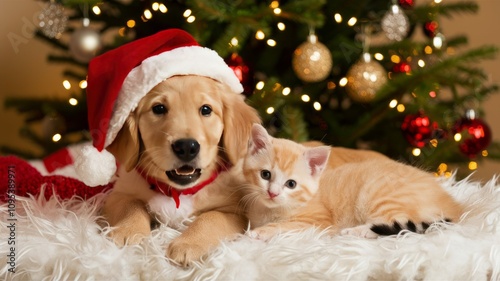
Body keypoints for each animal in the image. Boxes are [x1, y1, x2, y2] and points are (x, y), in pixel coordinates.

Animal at [105, 74, 262, 262]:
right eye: (158, 108)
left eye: (206, 109)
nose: (186, 147)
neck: (179, 192)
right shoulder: (119, 192)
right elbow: (131, 205)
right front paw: (128, 231)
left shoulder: (236, 211)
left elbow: (211, 217)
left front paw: (188, 244)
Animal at [244, 124, 462, 238]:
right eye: (265, 175)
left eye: (291, 184)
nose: (272, 193)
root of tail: (455, 206)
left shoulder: (318, 222)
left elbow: (286, 226)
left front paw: (258, 233)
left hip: (379, 195)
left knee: (395, 226)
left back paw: (355, 231)